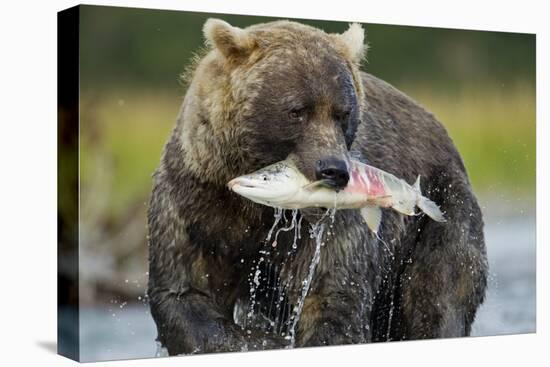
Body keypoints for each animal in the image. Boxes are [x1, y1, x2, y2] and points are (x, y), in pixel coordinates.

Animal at [147, 18, 488, 356]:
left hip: (440, 210)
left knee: (438, 293)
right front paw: (261, 339)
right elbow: (186, 293)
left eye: (343, 113)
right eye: (297, 110)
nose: (334, 170)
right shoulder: (197, 200)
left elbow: (332, 296)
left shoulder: (331, 226)